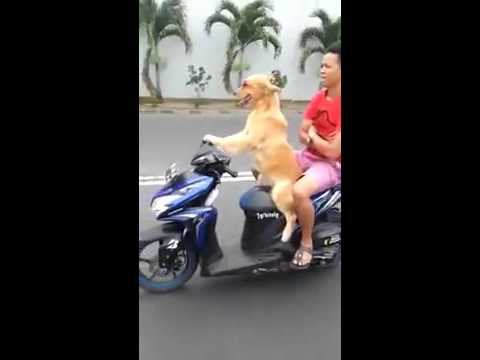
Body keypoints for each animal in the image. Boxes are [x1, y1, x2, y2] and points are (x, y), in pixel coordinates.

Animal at [204, 74, 302, 242]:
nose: (233, 93)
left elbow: (227, 141)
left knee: (292, 216)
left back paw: (285, 235)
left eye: (246, 84)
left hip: (279, 193)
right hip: (263, 180)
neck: (263, 109)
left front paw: (212, 138)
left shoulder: (247, 140)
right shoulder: (244, 133)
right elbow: (230, 138)